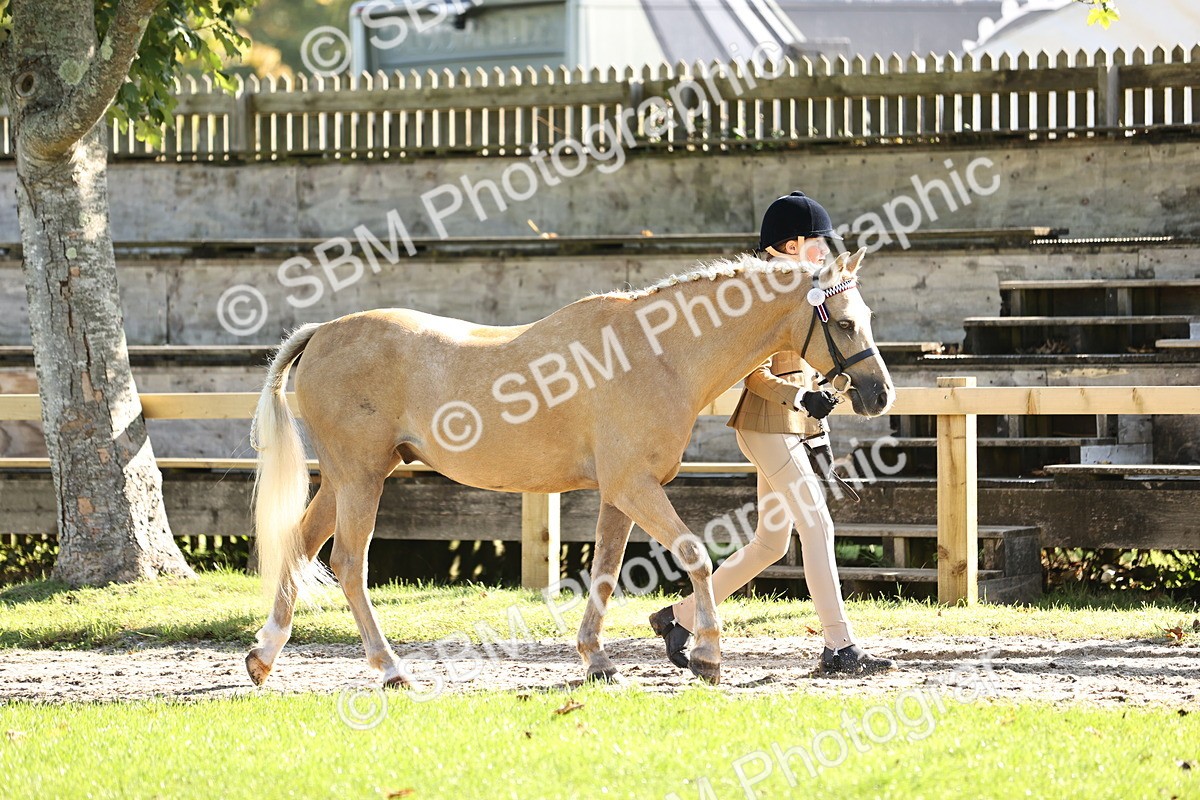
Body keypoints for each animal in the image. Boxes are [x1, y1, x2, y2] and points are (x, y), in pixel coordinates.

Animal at [245, 246, 894, 688]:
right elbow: (696, 556)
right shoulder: (635, 487)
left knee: (299, 545)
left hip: (346, 479)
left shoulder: (620, 494)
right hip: (361, 479)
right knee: (348, 565)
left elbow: (605, 571)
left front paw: (598, 660)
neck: (657, 353)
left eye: (867, 315)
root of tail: (321, 335)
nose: (878, 394)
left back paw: (262, 657)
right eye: (842, 322)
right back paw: (390, 670)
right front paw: (708, 656)